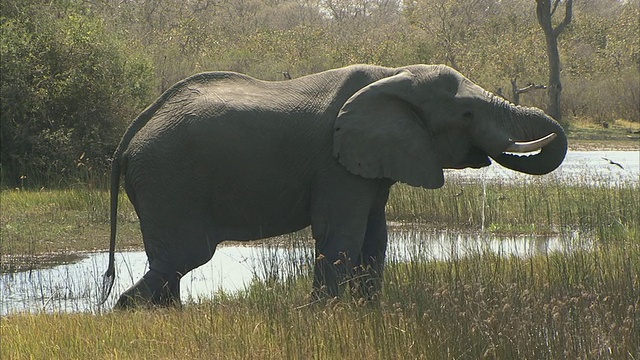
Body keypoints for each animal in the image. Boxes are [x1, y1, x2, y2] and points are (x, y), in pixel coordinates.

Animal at [97, 64, 568, 306]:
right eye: (467, 114)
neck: (392, 75)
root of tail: (130, 136)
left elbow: (375, 236)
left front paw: (367, 311)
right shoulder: (335, 166)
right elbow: (341, 235)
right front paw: (327, 315)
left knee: (171, 266)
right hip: (168, 179)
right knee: (184, 257)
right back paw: (129, 314)